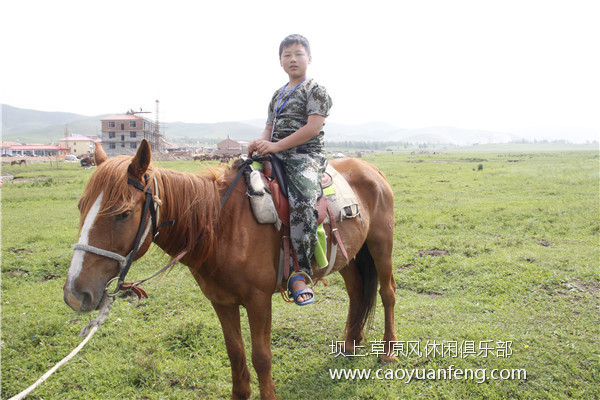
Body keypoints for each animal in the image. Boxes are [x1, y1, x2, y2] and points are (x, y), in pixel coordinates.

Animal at [64, 139, 398, 398]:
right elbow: (235, 352)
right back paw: (350, 345)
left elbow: (261, 357)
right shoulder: (221, 301)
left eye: (122, 213)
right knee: (357, 292)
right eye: (80, 206)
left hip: (381, 245)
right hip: (350, 256)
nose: (74, 293)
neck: (222, 225)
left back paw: (388, 352)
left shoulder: (259, 301)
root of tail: (374, 170)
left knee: (388, 293)